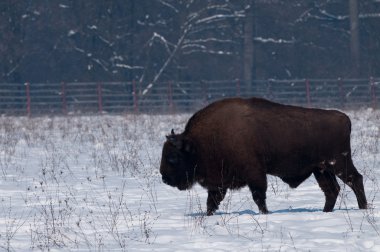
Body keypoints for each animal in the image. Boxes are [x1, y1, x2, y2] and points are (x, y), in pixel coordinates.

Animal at [160, 97, 368, 216]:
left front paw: (265, 213)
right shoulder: (218, 183)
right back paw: (326, 212)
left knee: (355, 180)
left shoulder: (255, 174)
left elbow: (259, 196)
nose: (164, 177)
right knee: (332, 190)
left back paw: (363, 208)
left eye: (172, 157)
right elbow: (212, 201)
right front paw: (208, 214)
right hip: (321, 169)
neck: (198, 143)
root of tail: (344, 118)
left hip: (339, 163)